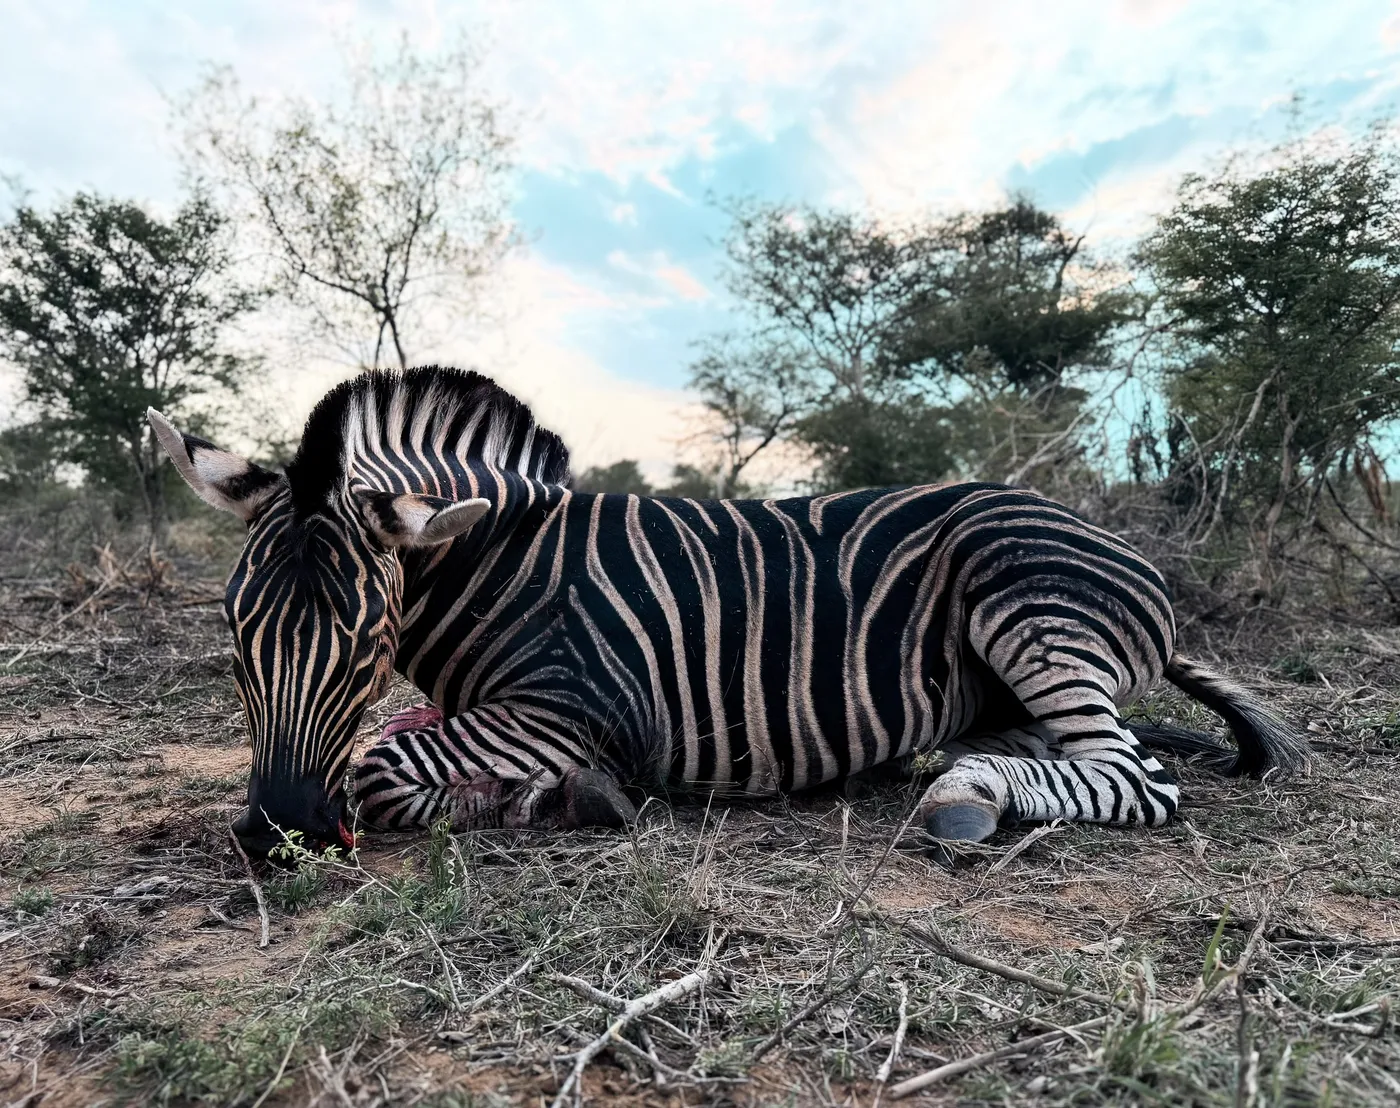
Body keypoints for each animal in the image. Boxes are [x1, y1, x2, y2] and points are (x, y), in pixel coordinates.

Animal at [149, 366, 1307, 856]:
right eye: (234, 637)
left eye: (363, 646)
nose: (277, 833)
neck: (496, 565)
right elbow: (400, 741)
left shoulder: (578, 708)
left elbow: (385, 767)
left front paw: (559, 799)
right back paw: (944, 765)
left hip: (1020, 597)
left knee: (1135, 777)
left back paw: (963, 796)